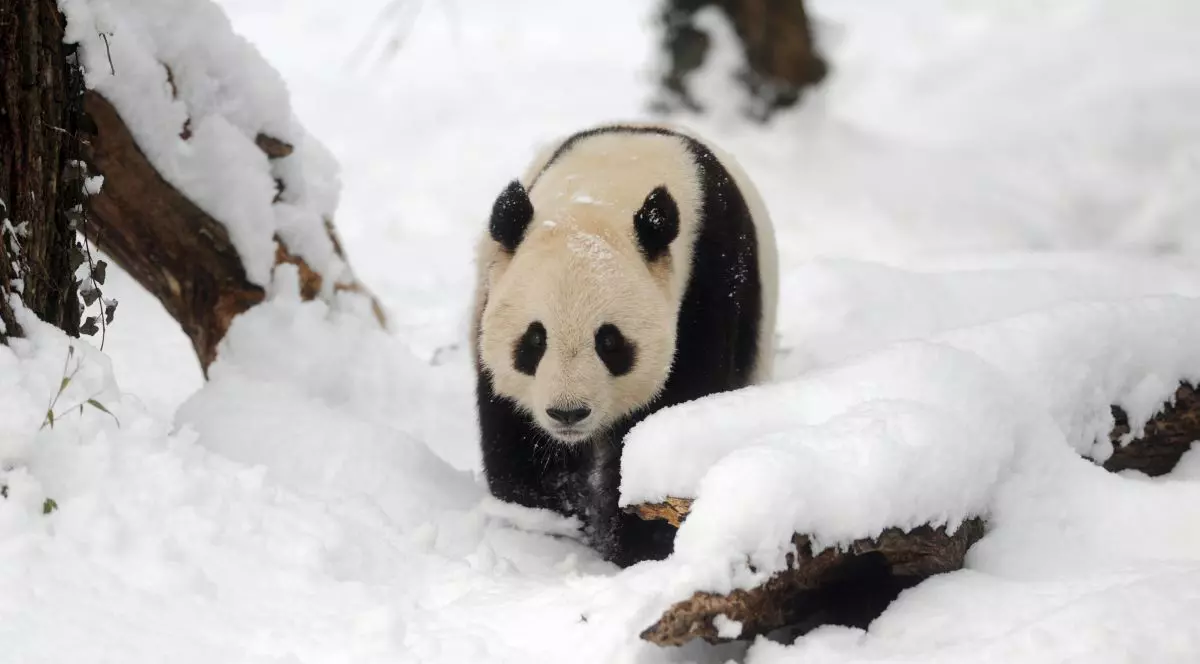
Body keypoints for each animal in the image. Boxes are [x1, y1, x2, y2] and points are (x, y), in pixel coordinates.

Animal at [471, 123, 778, 567]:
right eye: (534, 338)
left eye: (609, 341)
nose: (568, 413)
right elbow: (517, 432)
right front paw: (552, 516)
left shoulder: (708, 289)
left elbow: (667, 423)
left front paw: (640, 541)